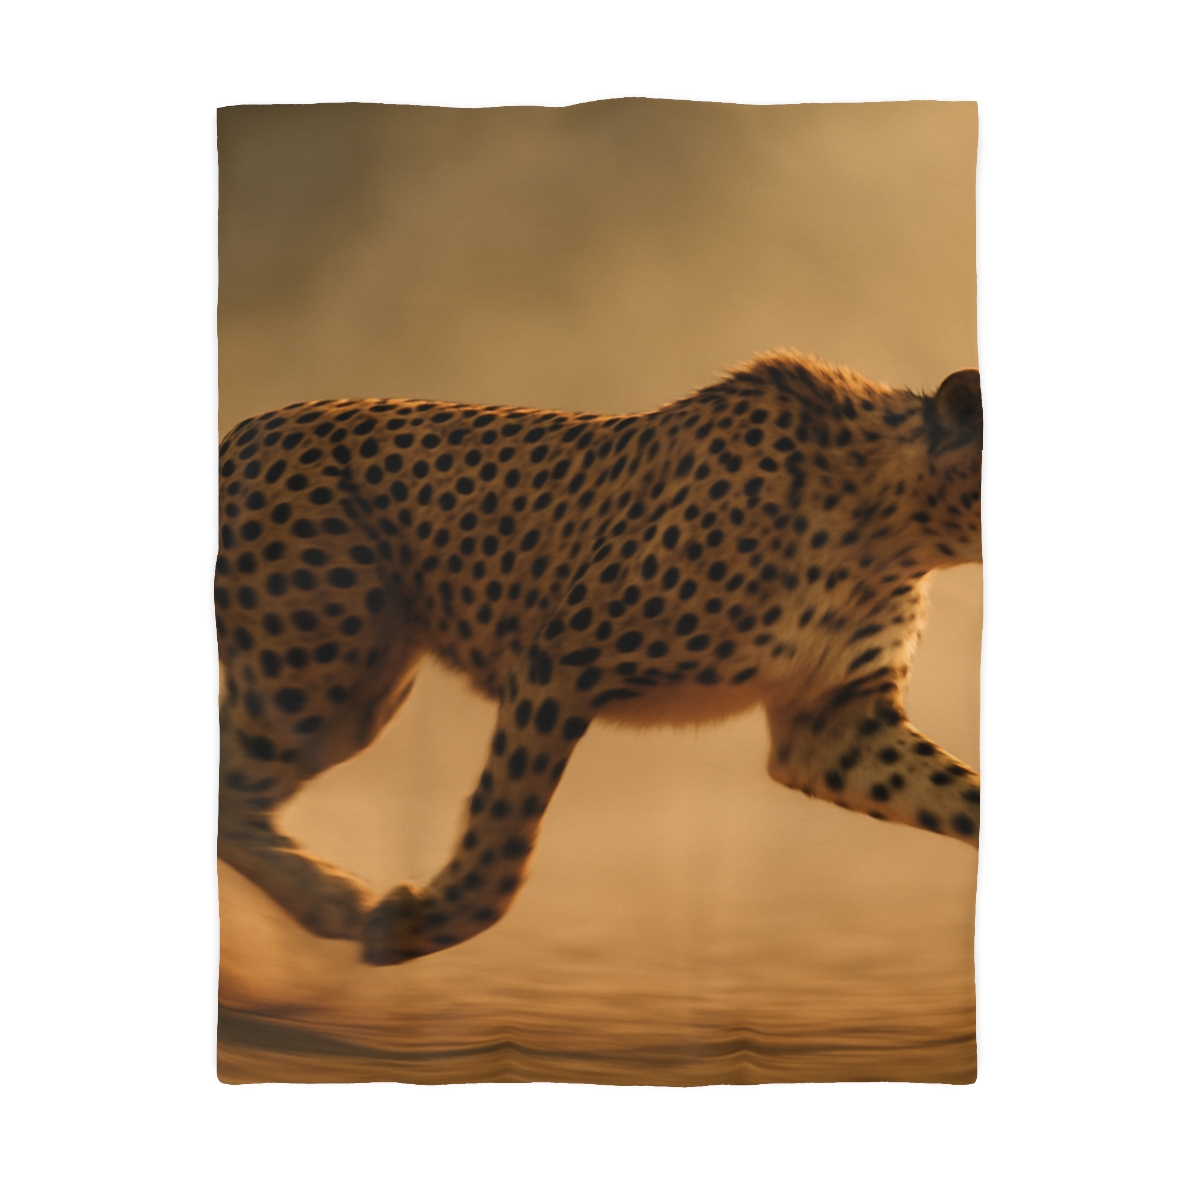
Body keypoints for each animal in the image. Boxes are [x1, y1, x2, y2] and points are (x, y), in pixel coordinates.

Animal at [216, 350, 983, 966]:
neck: (892, 518)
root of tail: (246, 428)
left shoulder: (831, 725)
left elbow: (965, 796)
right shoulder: (554, 666)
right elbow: (502, 841)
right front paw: (418, 924)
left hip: (355, 692)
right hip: (314, 675)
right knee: (231, 788)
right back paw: (334, 902)